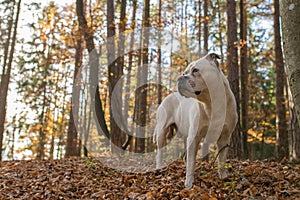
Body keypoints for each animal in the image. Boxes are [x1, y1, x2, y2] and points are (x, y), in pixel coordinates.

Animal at [155, 52, 237, 188]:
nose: (180, 78)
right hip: (162, 130)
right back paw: (159, 166)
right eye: (184, 72)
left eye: (195, 70)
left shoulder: (225, 137)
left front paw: (223, 176)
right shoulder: (194, 136)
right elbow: (191, 163)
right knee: (160, 150)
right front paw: (189, 183)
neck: (211, 103)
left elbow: (222, 158)